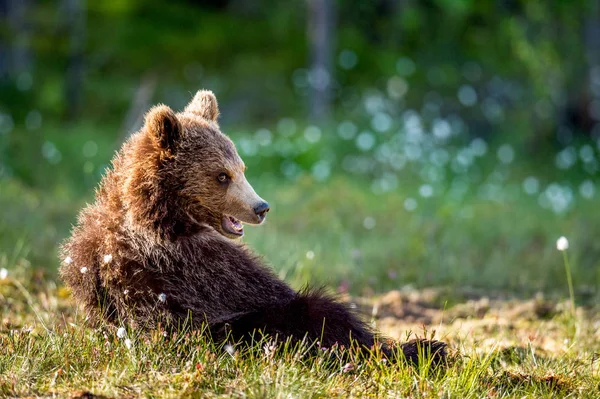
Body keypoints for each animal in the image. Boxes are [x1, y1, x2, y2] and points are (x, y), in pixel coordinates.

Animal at [59, 90, 446, 366]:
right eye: (221, 175)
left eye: (241, 167)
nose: (261, 207)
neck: (161, 216)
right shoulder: (199, 267)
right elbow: (270, 290)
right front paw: (413, 346)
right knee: (317, 310)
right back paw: (423, 348)